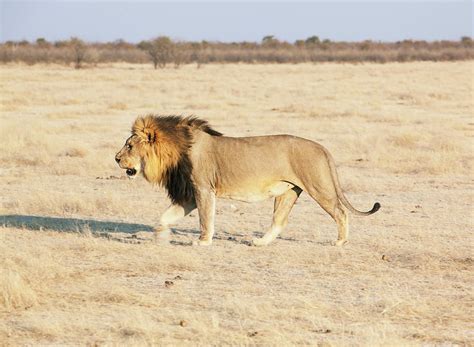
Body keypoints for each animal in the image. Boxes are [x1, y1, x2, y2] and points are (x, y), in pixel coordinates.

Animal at [116, 116, 380, 247]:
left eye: (129, 146)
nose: (116, 158)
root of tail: (322, 147)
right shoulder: (190, 193)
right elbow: (165, 217)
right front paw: (160, 235)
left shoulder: (203, 188)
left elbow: (205, 218)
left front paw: (203, 242)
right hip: (288, 191)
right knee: (279, 221)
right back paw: (260, 243)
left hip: (318, 186)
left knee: (340, 212)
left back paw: (340, 241)